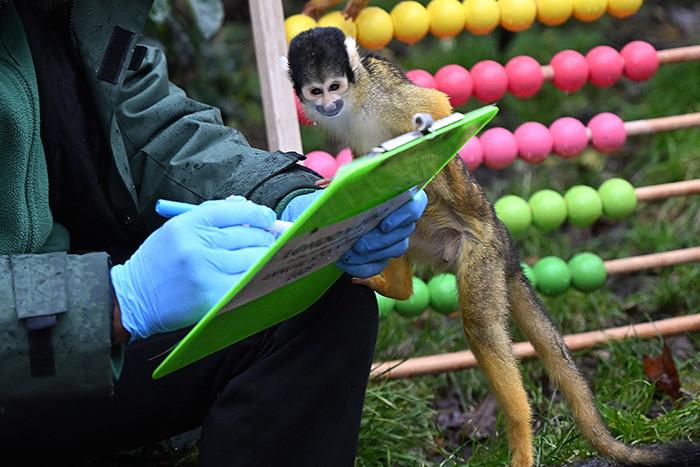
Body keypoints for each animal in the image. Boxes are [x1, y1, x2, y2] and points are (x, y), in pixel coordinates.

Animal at [284, 27, 700, 467]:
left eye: (335, 86)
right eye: (315, 91)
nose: (329, 104)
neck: (354, 101)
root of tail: (504, 241)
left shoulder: (382, 93)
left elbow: (438, 110)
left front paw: (423, 138)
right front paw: (337, 184)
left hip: (480, 253)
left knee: (481, 325)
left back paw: (521, 430)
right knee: (394, 220)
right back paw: (396, 286)